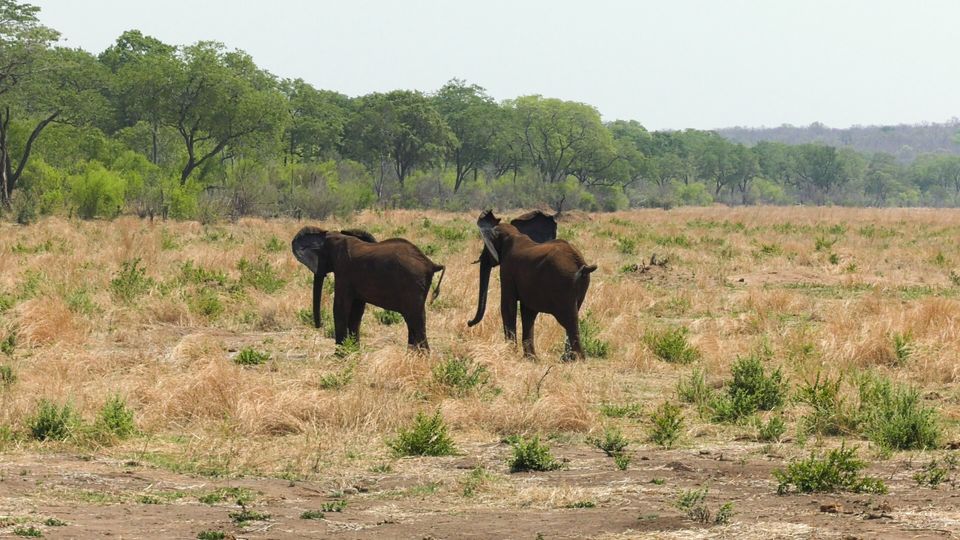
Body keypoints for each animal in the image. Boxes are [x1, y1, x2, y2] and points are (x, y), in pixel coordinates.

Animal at [290, 225, 444, 348]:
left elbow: (340, 308)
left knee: (415, 320)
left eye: (322, 256)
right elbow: (356, 312)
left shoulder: (344, 271)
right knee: (414, 320)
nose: (318, 325)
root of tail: (431, 264)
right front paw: (353, 352)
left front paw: (340, 356)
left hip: (412, 285)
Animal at [468, 211, 596, 358]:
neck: (514, 234)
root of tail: (580, 263)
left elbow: (507, 306)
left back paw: (576, 359)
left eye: (486, 248)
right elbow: (528, 311)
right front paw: (530, 358)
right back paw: (567, 358)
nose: (469, 322)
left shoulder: (507, 270)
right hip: (581, 284)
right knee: (574, 313)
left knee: (569, 319)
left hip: (563, 284)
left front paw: (510, 353)